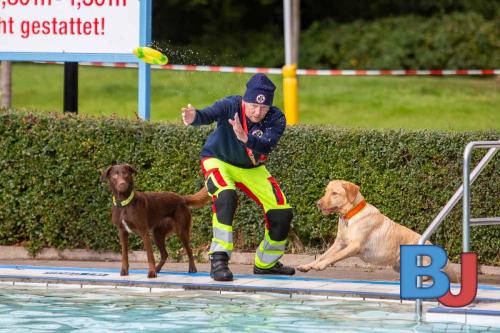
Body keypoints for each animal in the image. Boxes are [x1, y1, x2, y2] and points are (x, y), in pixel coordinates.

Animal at [296, 179, 458, 280]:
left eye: (334, 193)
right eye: (326, 191)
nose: (317, 203)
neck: (350, 216)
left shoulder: (354, 246)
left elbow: (334, 257)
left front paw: (320, 265)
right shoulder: (339, 243)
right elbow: (323, 255)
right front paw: (307, 265)